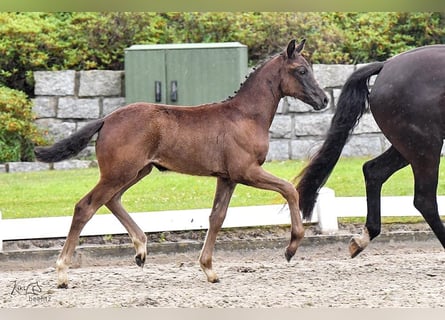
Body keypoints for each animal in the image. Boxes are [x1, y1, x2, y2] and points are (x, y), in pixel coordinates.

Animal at [294, 45, 444, 258]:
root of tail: (386, 65)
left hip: (409, 146)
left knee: (374, 170)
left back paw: (363, 238)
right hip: (424, 145)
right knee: (425, 200)